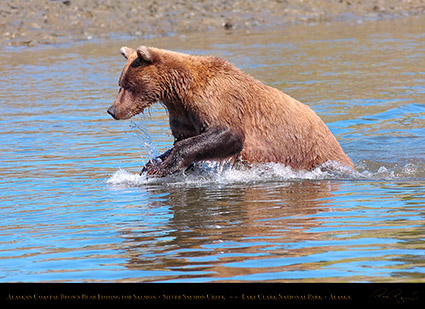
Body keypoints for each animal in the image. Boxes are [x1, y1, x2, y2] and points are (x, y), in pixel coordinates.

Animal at [107, 45, 354, 176]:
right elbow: (184, 139)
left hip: (310, 151)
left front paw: (165, 166)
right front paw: (151, 164)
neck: (178, 92)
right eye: (120, 83)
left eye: (127, 85)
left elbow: (228, 134)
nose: (112, 110)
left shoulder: (215, 100)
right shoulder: (182, 114)